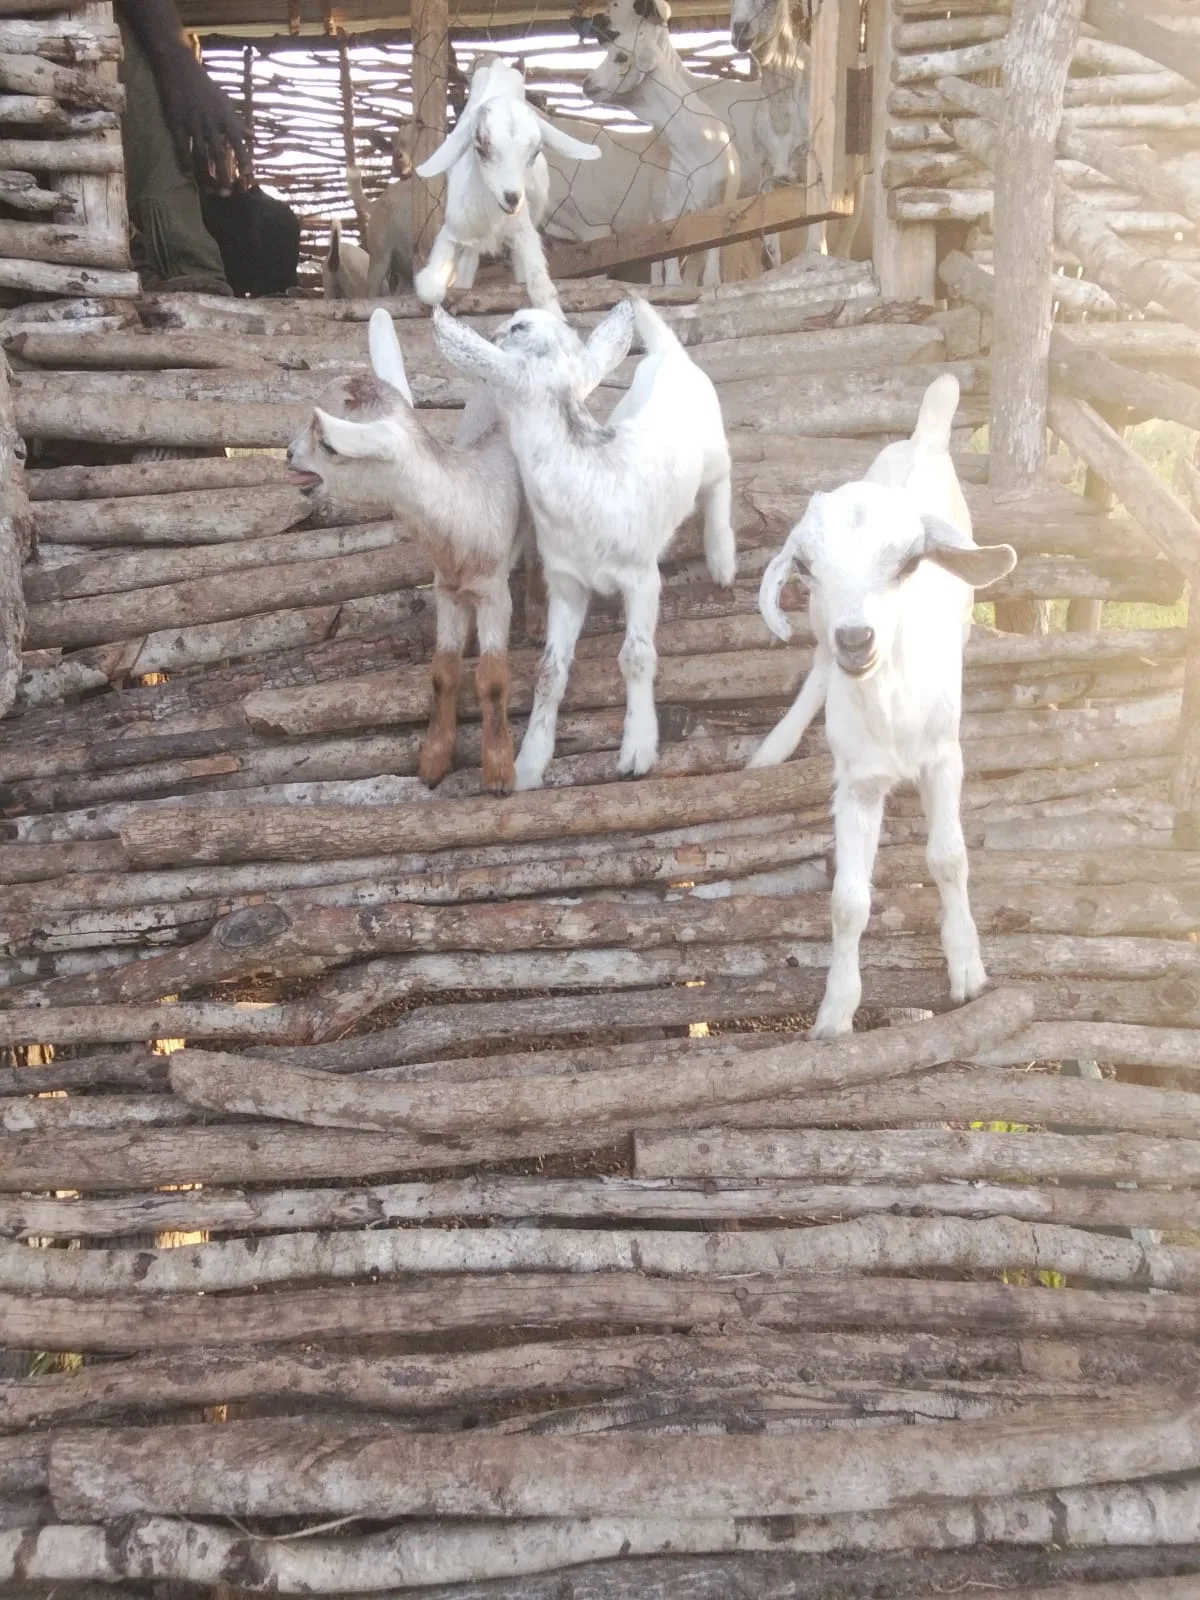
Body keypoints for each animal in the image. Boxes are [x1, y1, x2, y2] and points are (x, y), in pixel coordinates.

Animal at [284, 308, 531, 793]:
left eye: (329, 444)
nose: (287, 455)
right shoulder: (446, 589)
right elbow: (442, 673)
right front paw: (433, 761)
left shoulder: (493, 590)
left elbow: (493, 679)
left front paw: (498, 772)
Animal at [413, 58, 601, 312]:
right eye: (480, 148)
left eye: (536, 152)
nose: (512, 198)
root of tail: (499, 66)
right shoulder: (454, 231)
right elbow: (431, 287)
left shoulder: (525, 232)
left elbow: (542, 287)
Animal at [433, 296, 737, 790]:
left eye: (516, 328)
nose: (492, 334)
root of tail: (669, 354)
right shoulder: (567, 584)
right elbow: (549, 672)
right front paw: (530, 763)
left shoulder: (641, 577)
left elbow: (636, 656)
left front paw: (637, 750)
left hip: (713, 451)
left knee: (720, 484)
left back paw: (722, 559)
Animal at [584, 12, 740, 286]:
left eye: (621, 57)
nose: (586, 83)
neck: (695, 148)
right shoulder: (669, 211)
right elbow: (670, 267)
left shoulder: (718, 206)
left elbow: (710, 269)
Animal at [748, 375, 1017, 1038]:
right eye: (803, 566)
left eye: (909, 562)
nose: (856, 638)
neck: (889, 704)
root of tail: (925, 433)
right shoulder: (856, 782)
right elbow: (847, 902)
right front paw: (835, 1012)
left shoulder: (944, 758)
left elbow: (949, 859)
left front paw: (967, 970)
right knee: (817, 667)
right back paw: (776, 745)